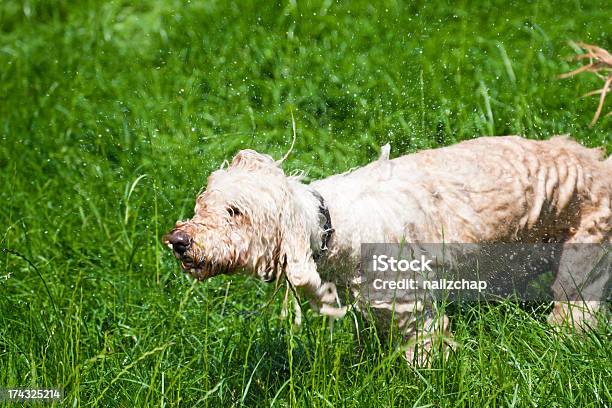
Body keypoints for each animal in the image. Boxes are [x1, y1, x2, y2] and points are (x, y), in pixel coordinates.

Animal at [164, 135, 612, 364]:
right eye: (202, 205)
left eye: (235, 211)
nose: (178, 241)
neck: (335, 226)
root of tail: (599, 162)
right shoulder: (376, 308)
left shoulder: (413, 306)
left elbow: (429, 354)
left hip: (584, 252)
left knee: (575, 308)